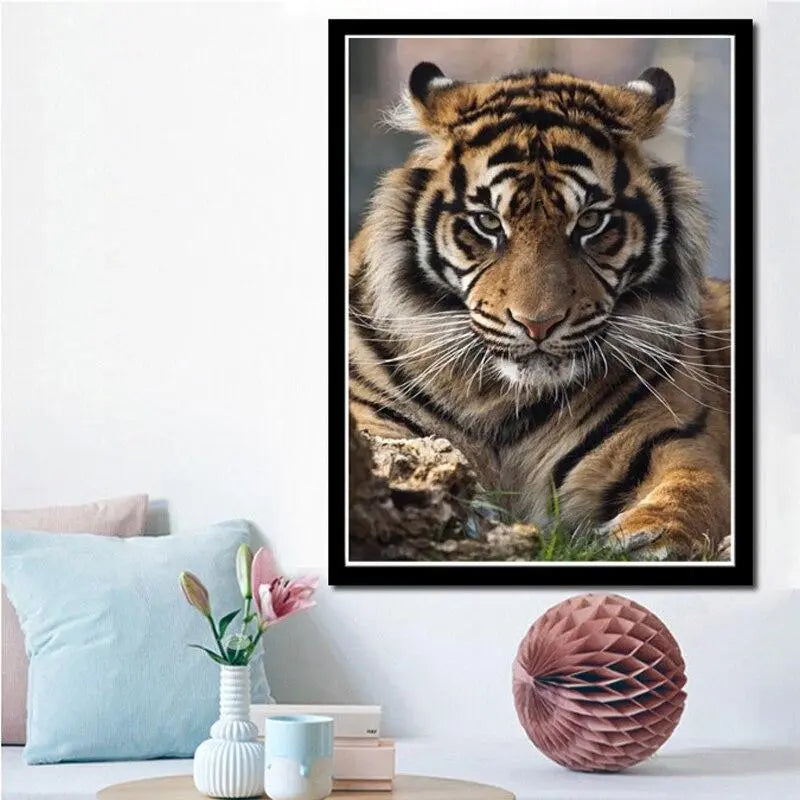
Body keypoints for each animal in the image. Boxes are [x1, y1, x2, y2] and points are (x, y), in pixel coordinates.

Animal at [348, 62, 731, 561]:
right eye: (488, 222)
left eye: (590, 222)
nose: (538, 324)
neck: (500, 400)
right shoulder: (373, 421)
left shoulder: (673, 439)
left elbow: (692, 490)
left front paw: (644, 539)